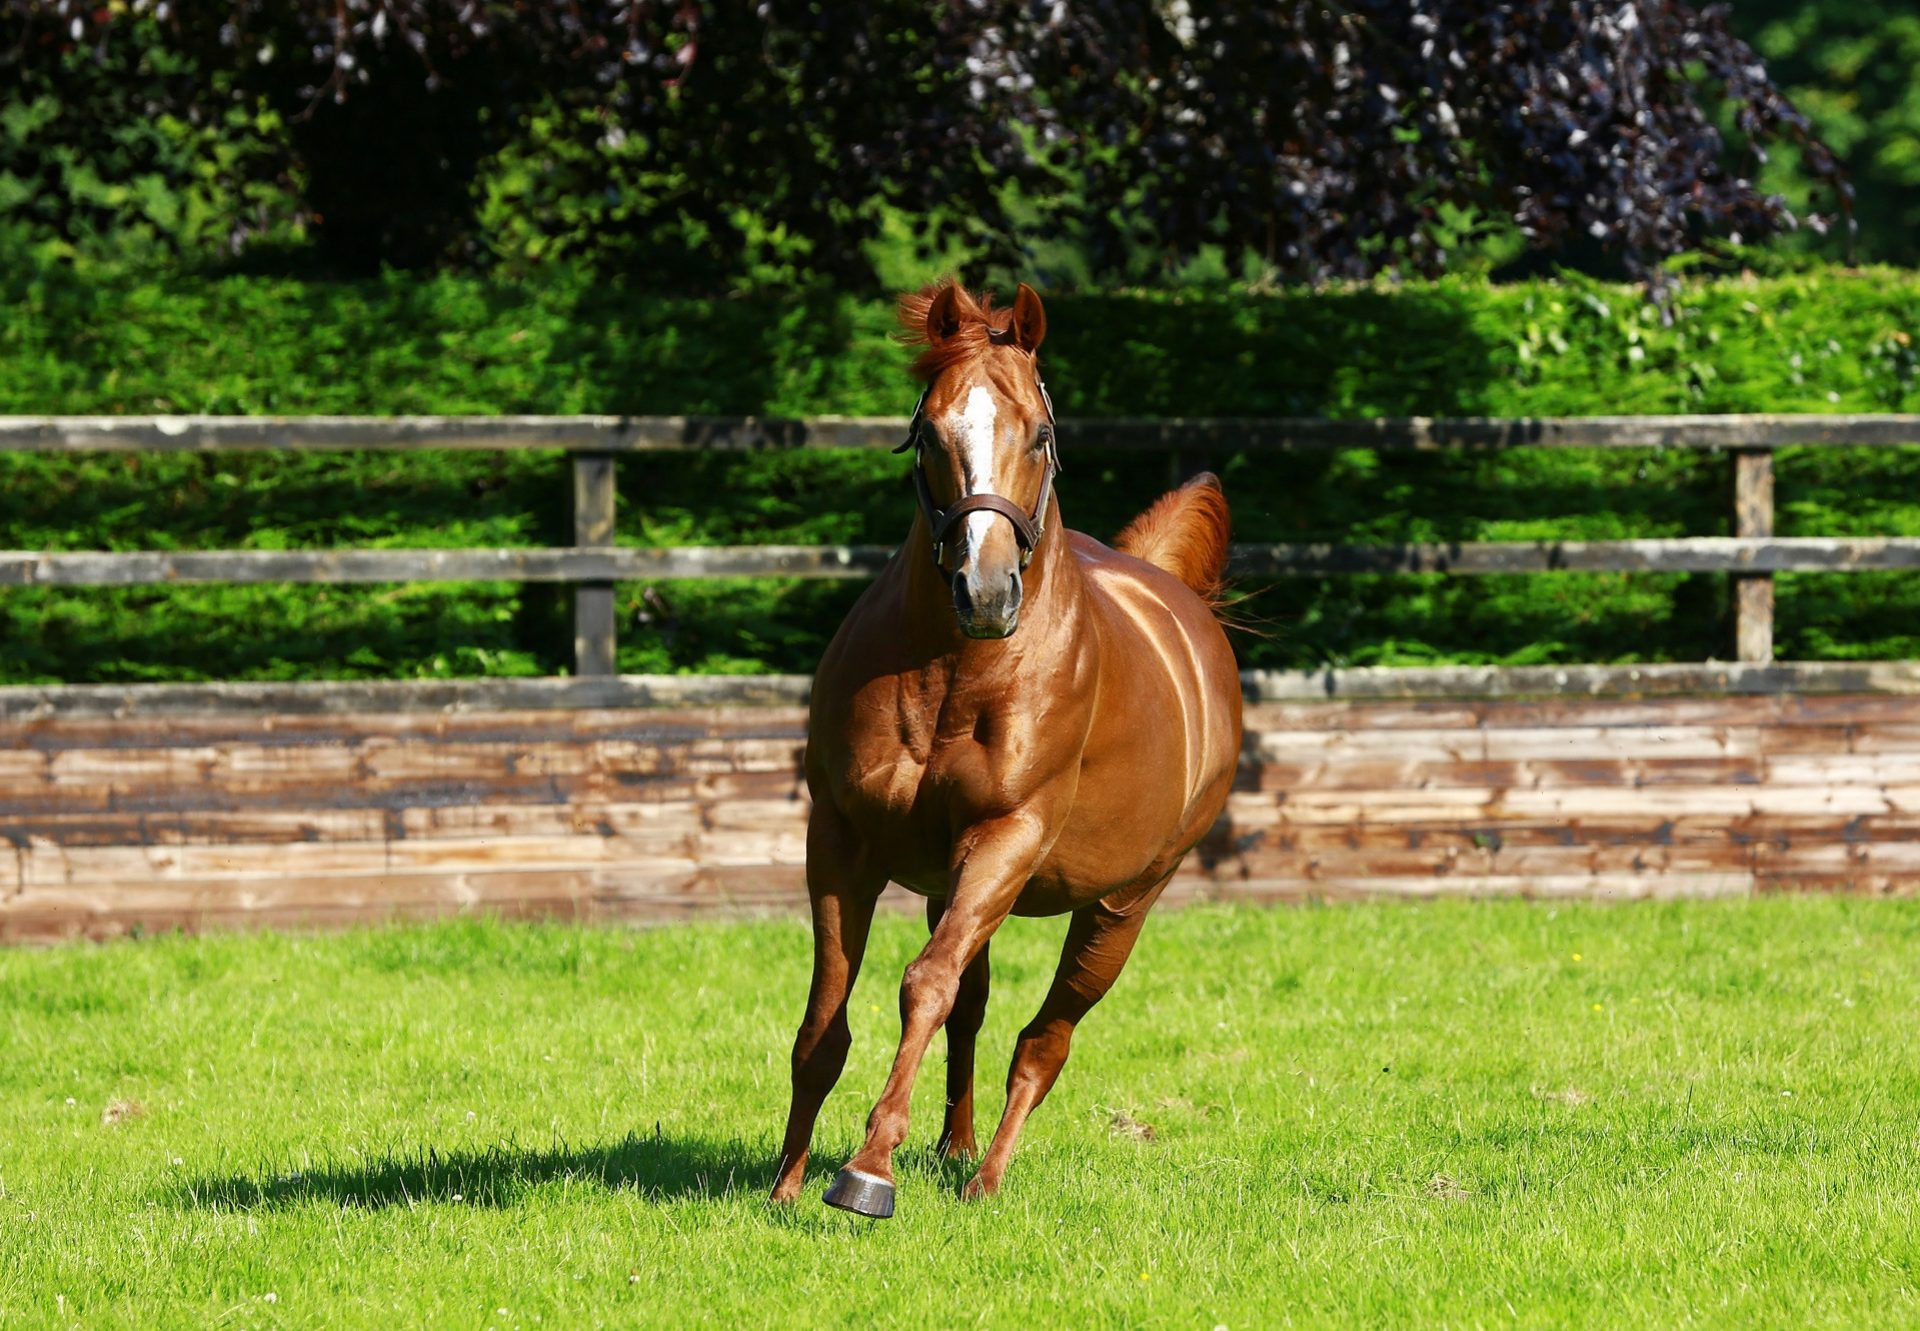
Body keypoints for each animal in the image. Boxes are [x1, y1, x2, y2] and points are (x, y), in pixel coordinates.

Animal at [768, 280, 1244, 1213]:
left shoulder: (1008, 838)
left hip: (1119, 905)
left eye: (1042, 434)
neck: (958, 671)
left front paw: (868, 1169)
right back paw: (953, 1148)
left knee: (1043, 1038)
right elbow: (826, 1021)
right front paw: (786, 1183)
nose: (985, 592)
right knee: (976, 1003)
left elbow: (923, 983)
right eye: (928, 432)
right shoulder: (841, 837)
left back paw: (983, 1178)